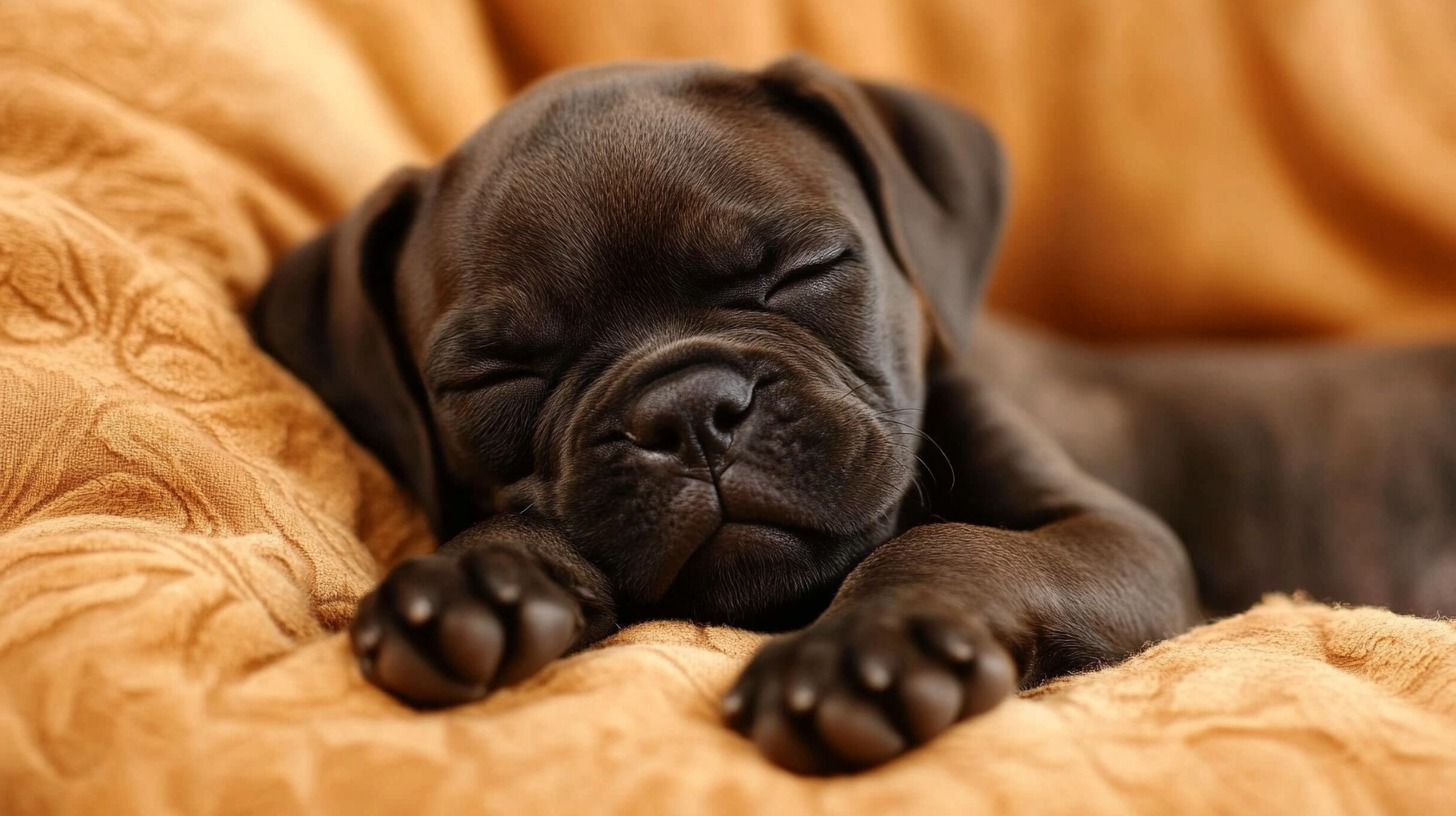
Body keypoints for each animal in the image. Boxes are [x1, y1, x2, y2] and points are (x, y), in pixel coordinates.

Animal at [250, 55, 1456, 769]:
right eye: (494, 378)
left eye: (803, 271)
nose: (688, 412)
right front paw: (477, 577)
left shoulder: (1118, 540)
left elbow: (947, 543)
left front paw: (865, 648)